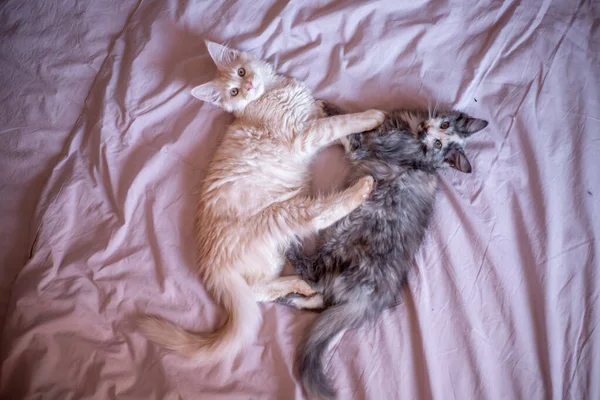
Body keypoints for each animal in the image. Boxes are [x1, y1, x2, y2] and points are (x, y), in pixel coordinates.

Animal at [137, 40, 384, 362]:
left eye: (241, 73)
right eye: (234, 92)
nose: (248, 85)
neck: (270, 92)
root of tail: (212, 267)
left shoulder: (310, 124)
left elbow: (332, 126)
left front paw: (343, 127)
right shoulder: (304, 134)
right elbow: (340, 123)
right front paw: (371, 117)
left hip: (272, 256)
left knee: (256, 293)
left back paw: (299, 285)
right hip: (287, 211)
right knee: (320, 215)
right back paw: (361, 188)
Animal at [284, 104, 488, 398]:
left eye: (439, 142)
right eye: (444, 126)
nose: (427, 130)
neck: (412, 135)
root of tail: (371, 301)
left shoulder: (365, 147)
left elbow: (347, 132)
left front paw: (327, 110)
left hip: (341, 239)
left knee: (316, 280)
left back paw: (292, 253)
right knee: (323, 297)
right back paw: (292, 299)